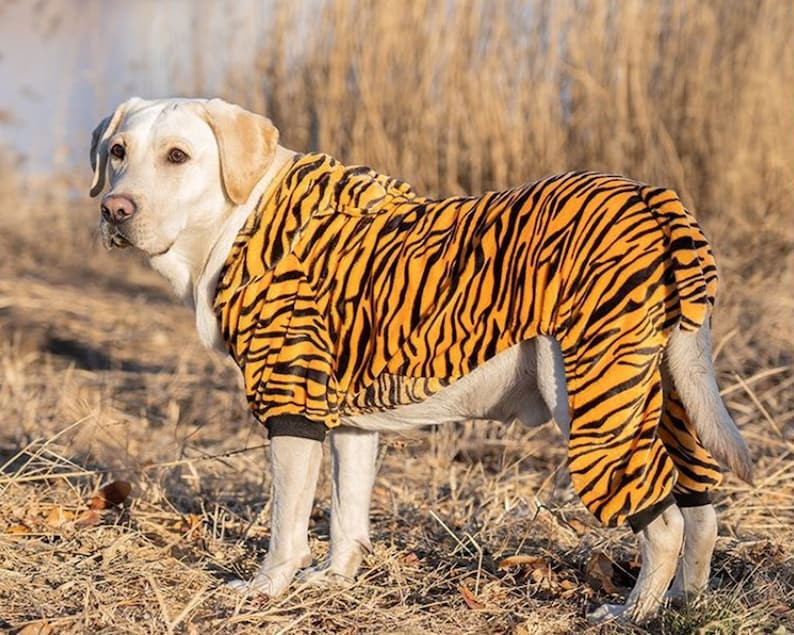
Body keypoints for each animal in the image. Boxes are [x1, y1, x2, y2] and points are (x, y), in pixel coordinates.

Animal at [86, 97, 748, 624]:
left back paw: (633, 613)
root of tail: (652, 198)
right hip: (670, 396)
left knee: (662, 522)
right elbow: (347, 515)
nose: (114, 209)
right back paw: (684, 605)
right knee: (700, 511)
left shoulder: (291, 404)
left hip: (595, 401)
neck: (243, 220)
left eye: (178, 156)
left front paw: (266, 589)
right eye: (117, 151)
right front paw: (334, 582)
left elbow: (287, 526)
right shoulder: (350, 425)